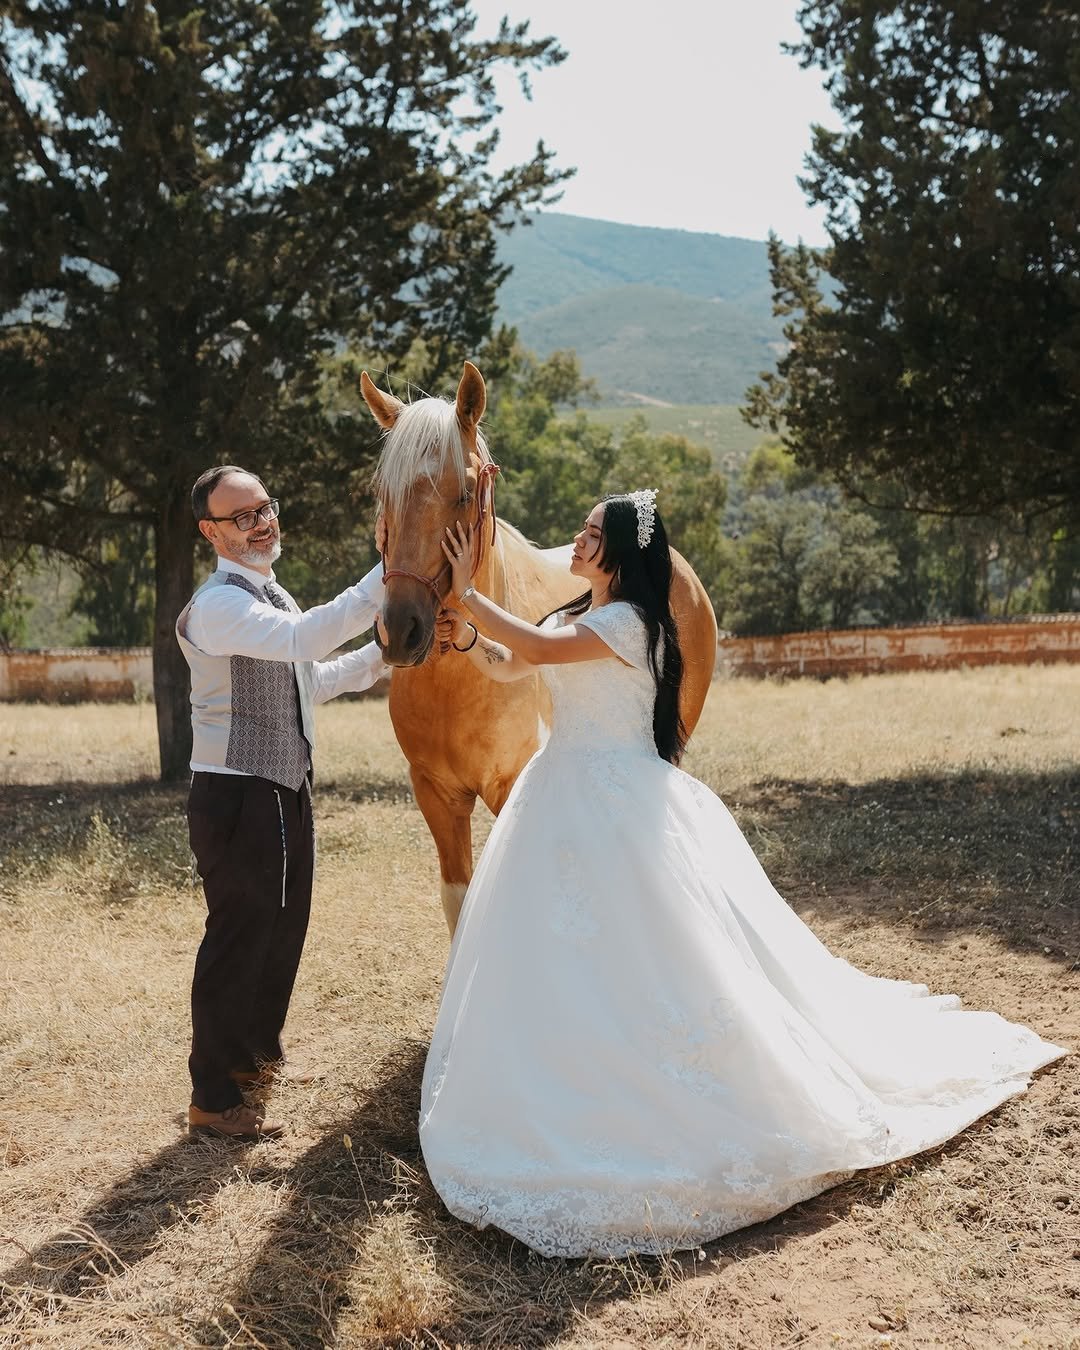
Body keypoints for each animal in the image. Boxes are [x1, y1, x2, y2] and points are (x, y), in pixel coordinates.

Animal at [361, 361, 718, 933]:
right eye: (382, 493)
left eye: (464, 491)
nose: (401, 629)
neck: (456, 687)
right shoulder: (436, 795)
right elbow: (460, 903)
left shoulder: (510, 787)